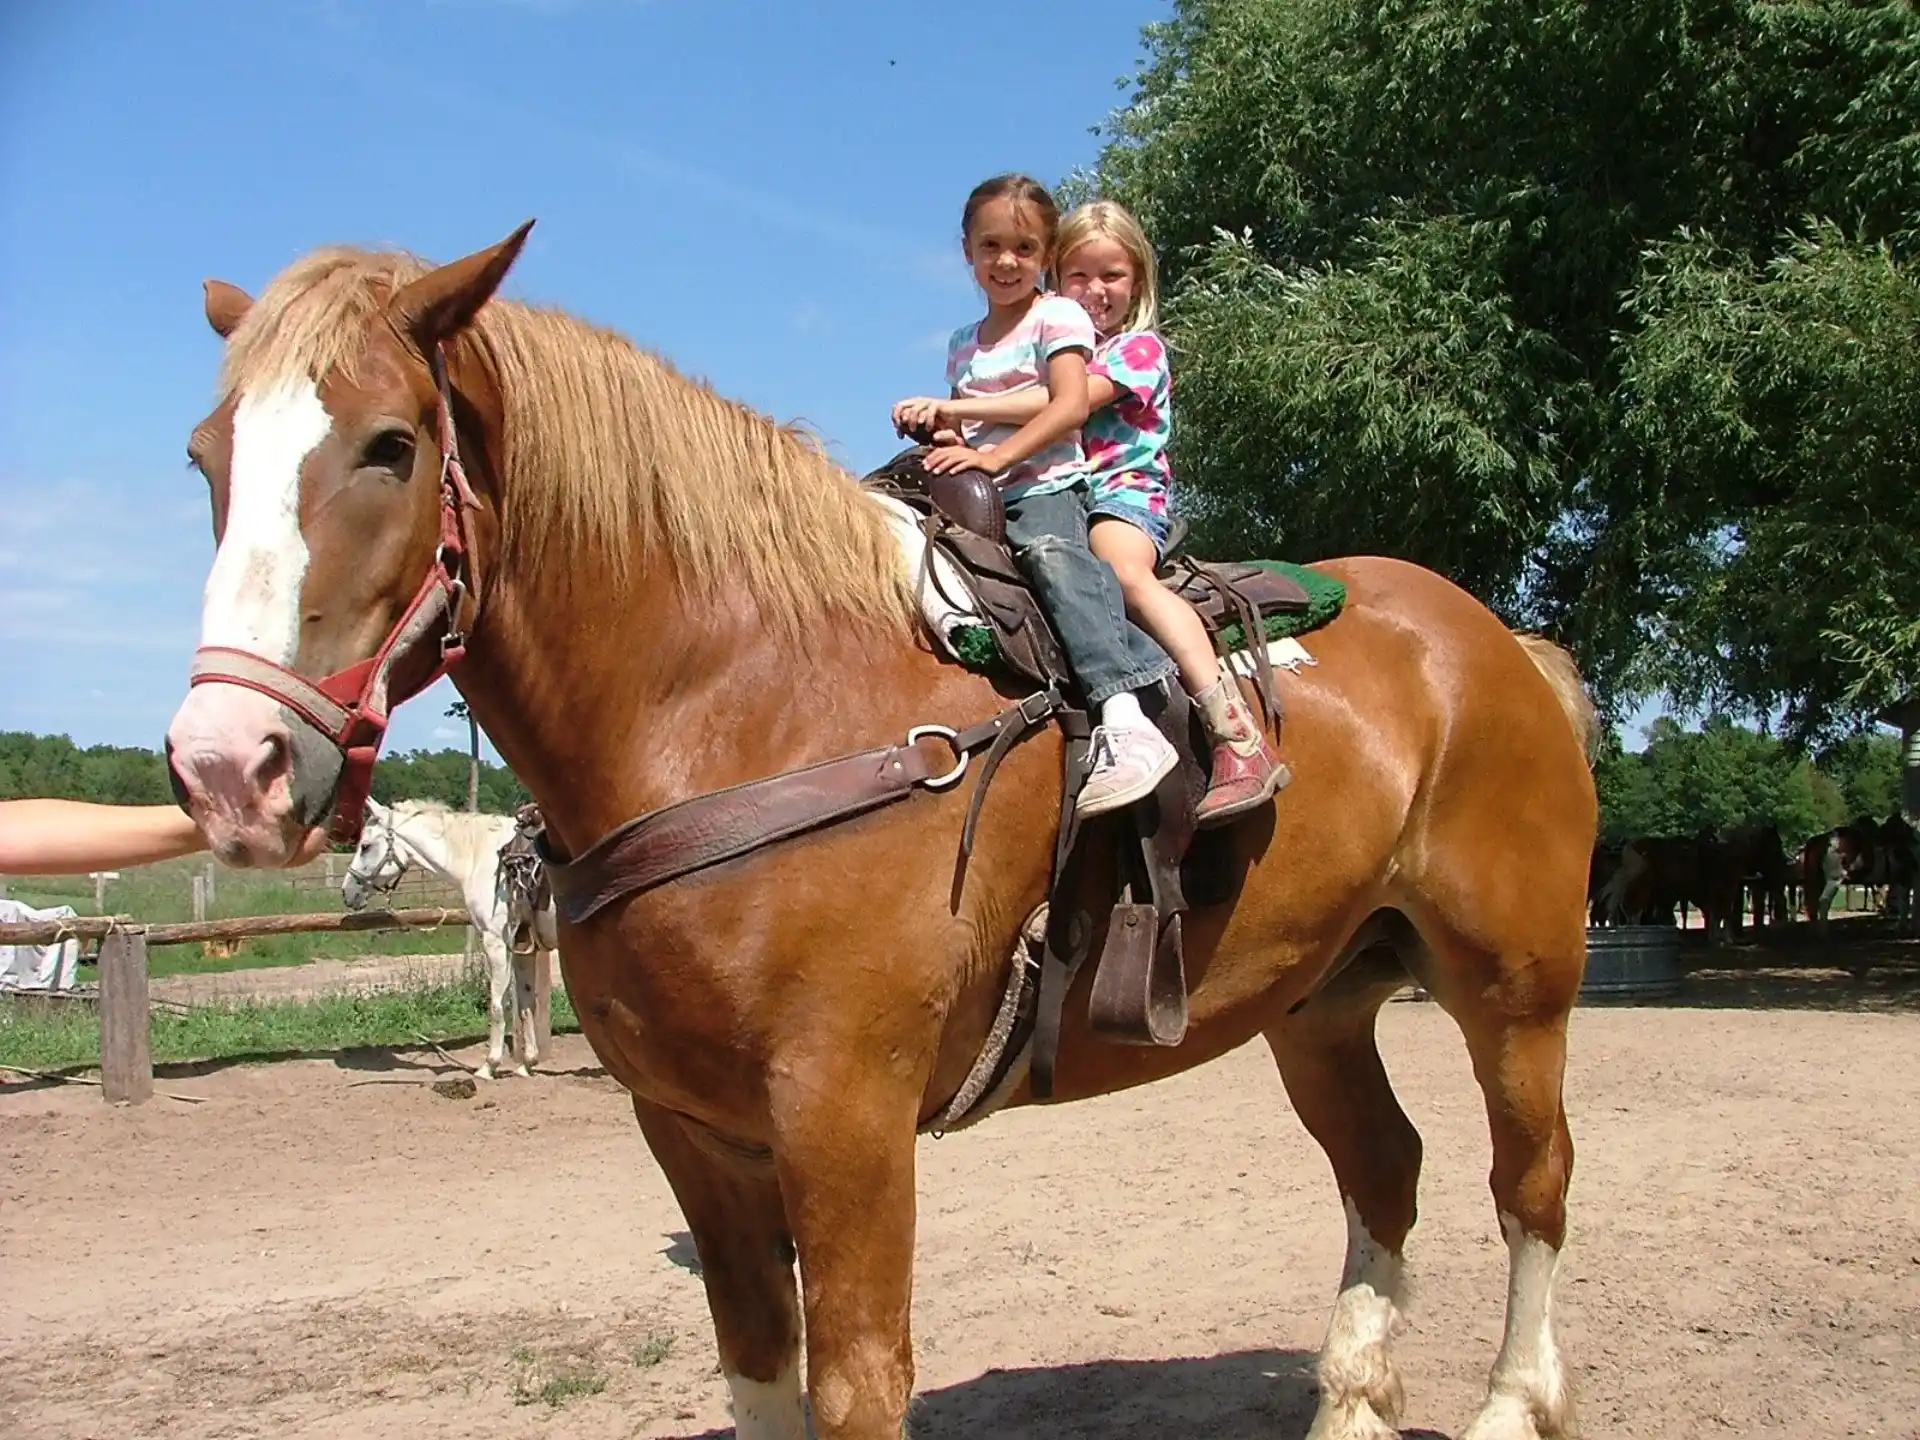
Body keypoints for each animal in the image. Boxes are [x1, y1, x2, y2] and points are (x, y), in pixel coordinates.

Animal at [341, 796, 553, 1079]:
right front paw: (527, 1063)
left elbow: (497, 1005)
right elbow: (527, 1002)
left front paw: (489, 1065)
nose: (347, 891)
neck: (484, 858)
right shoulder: (522, 946)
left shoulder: (496, 942)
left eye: (365, 846)